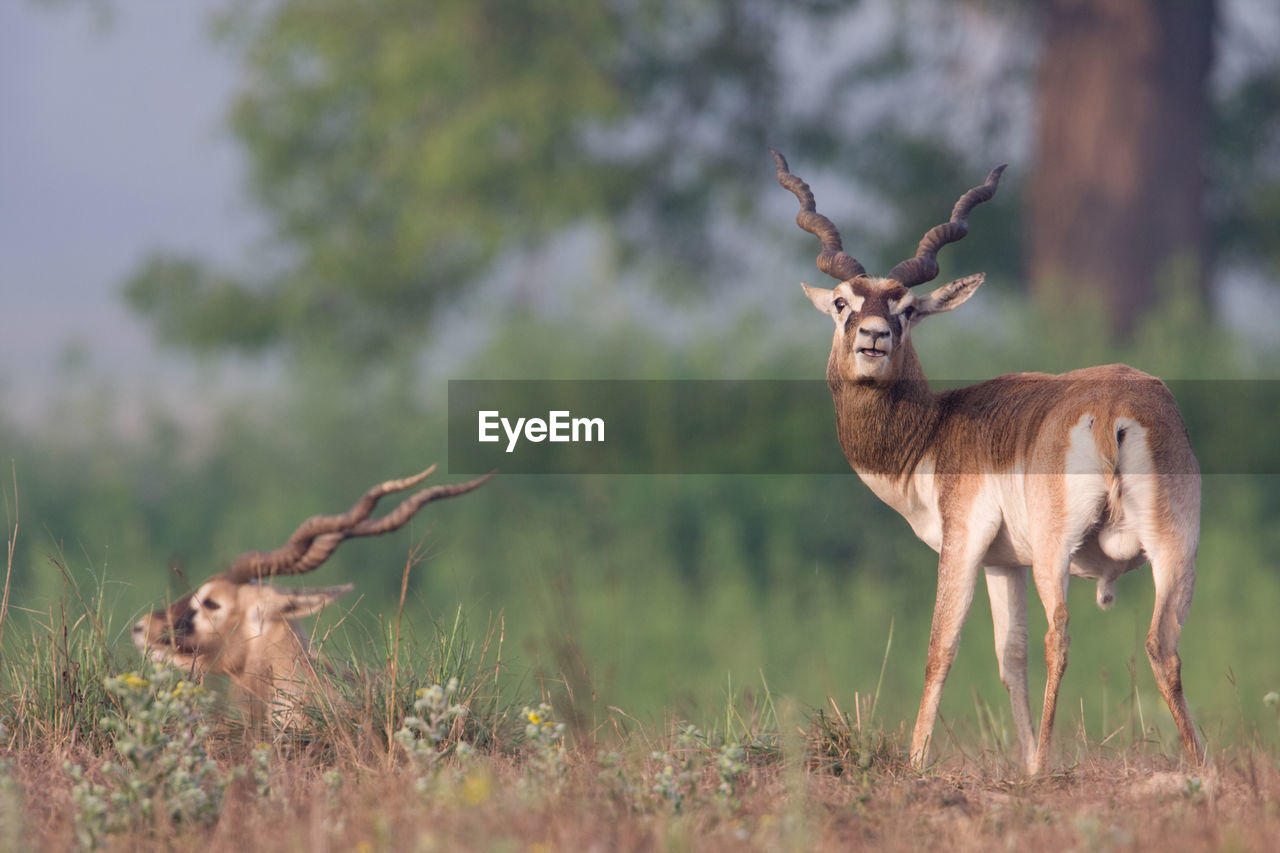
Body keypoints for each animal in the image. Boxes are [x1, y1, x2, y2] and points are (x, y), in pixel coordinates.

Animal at [773, 151, 1203, 768]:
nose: (874, 337)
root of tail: (1113, 409)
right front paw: (1019, 765)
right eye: (841, 303)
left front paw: (918, 762)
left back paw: (1046, 764)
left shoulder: (966, 540)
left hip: (1056, 550)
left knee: (1059, 636)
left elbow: (942, 647)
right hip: (1175, 547)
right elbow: (1009, 658)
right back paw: (1198, 766)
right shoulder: (1006, 563)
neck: (935, 431)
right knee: (1162, 644)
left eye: (908, 309)